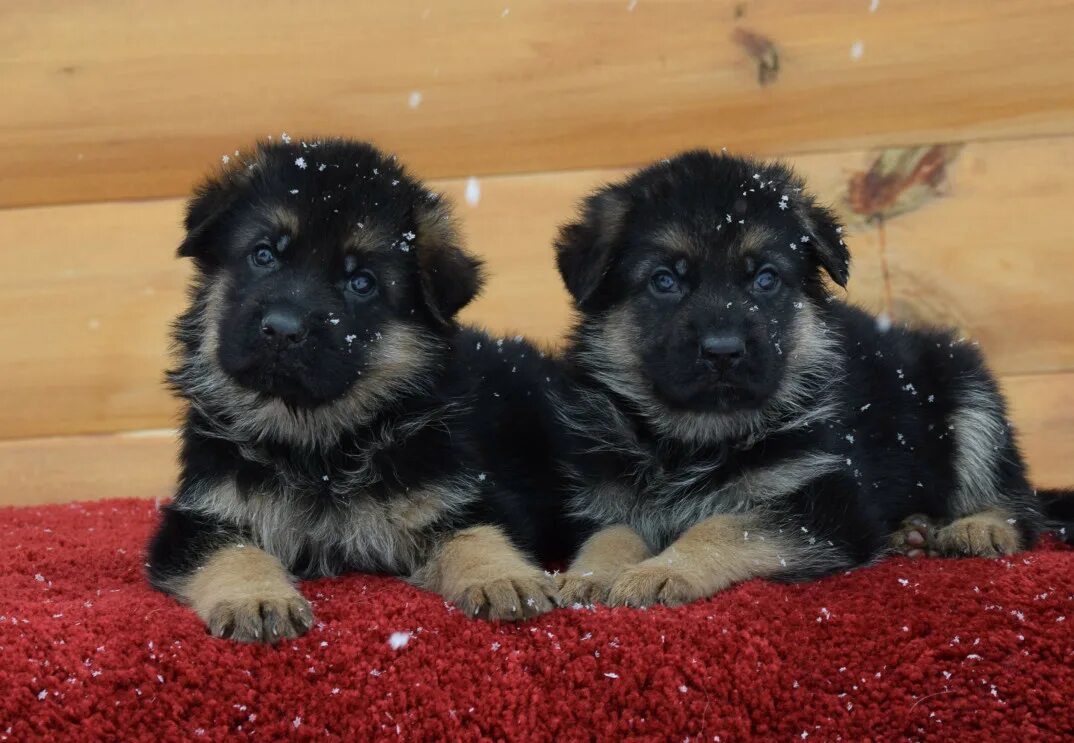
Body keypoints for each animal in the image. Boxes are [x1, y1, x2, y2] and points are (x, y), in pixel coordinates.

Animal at [147, 137, 584, 639]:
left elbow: (479, 534)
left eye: (361, 282)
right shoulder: (197, 518)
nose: (281, 329)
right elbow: (232, 552)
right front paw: (256, 599)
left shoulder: (468, 496)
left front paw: (503, 578)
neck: (317, 449)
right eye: (263, 255)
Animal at [549, 151, 1069, 609]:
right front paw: (590, 574)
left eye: (765, 279)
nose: (723, 350)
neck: (697, 438)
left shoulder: (823, 507)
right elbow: (612, 534)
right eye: (664, 281)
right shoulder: (606, 501)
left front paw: (661, 570)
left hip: (967, 393)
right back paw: (912, 530)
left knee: (1018, 500)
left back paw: (979, 527)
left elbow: (723, 527)